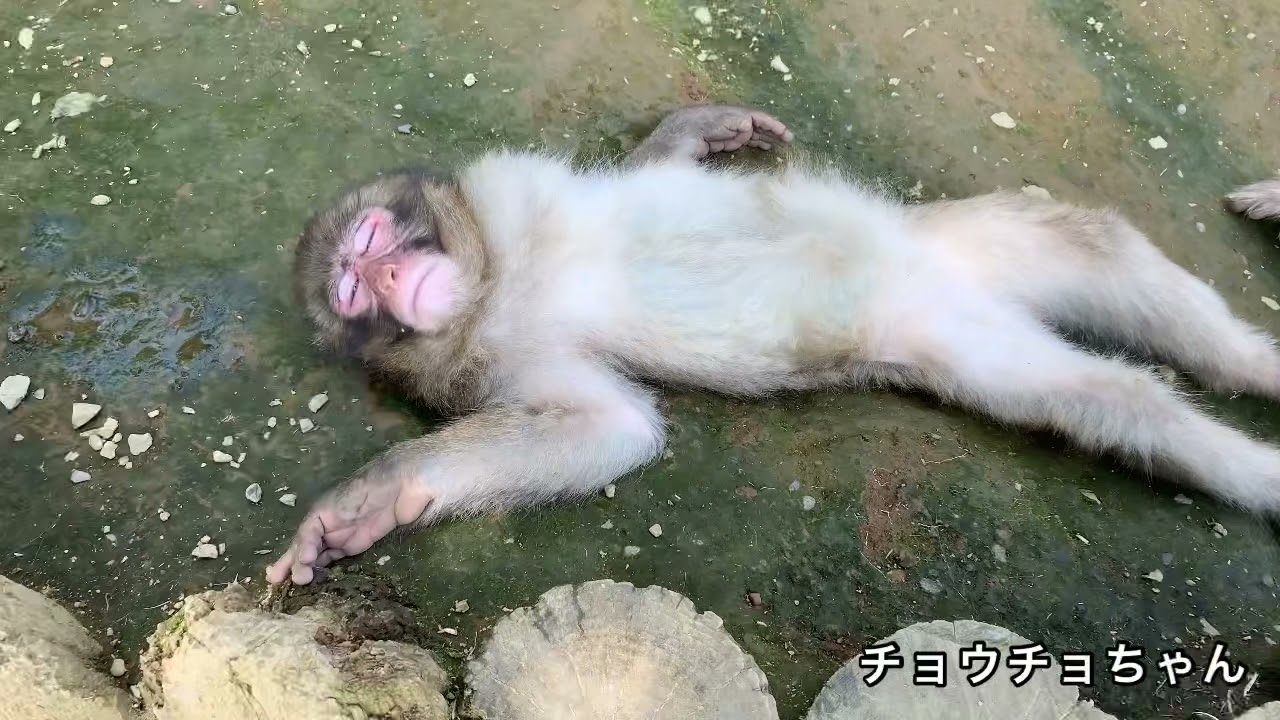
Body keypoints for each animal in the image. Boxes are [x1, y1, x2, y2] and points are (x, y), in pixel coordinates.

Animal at [268, 103, 1280, 585]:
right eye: (350, 290)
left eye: (373, 242)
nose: (389, 283)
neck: (503, 272)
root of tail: (951, 285)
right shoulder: (497, 359)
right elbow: (609, 427)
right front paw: (375, 501)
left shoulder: (515, 191)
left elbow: (634, 178)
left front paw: (697, 130)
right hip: (955, 330)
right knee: (1114, 399)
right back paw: (1258, 462)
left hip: (957, 247)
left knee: (1093, 245)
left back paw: (1252, 365)